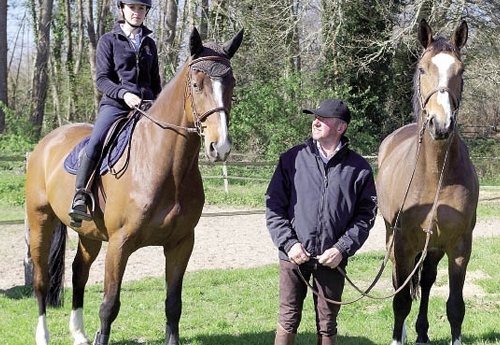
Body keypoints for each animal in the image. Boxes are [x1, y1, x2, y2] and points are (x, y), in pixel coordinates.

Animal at [25, 27, 244, 344]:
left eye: (231, 83)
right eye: (196, 84)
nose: (220, 146)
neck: (165, 168)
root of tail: (47, 142)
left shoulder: (181, 243)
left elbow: (173, 304)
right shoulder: (120, 244)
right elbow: (109, 305)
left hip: (89, 233)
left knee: (79, 273)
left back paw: (78, 334)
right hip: (41, 221)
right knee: (41, 279)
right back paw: (43, 335)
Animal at [376, 19, 478, 344]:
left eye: (461, 71)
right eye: (422, 69)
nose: (440, 124)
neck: (434, 176)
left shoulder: (459, 245)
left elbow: (455, 306)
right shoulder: (403, 243)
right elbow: (400, 300)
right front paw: (397, 337)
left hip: (433, 245)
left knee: (428, 279)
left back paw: (422, 333)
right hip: (392, 237)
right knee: (400, 281)